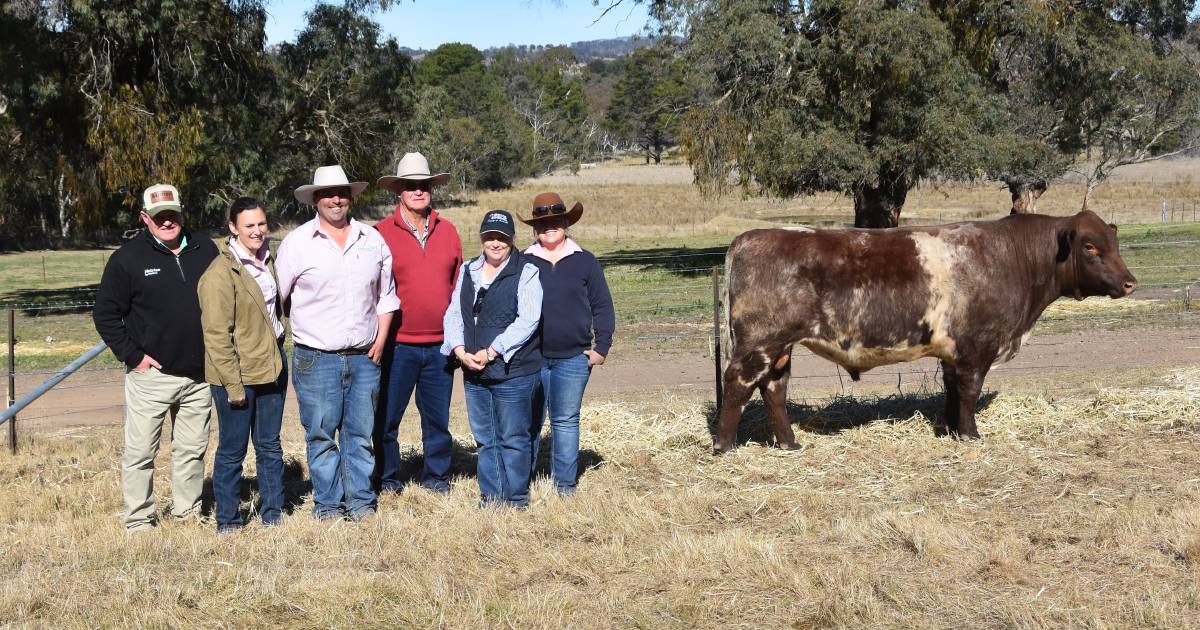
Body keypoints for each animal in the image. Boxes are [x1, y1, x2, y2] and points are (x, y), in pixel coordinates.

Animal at [715, 211, 1137, 451]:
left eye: (1115, 243)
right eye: (1090, 246)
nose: (1130, 283)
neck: (1014, 257)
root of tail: (747, 238)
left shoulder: (953, 351)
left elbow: (951, 390)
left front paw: (947, 429)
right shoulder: (977, 347)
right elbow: (969, 391)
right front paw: (970, 436)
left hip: (780, 346)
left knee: (774, 388)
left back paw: (789, 444)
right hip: (759, 341)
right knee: (737, 383)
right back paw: (724, 445)